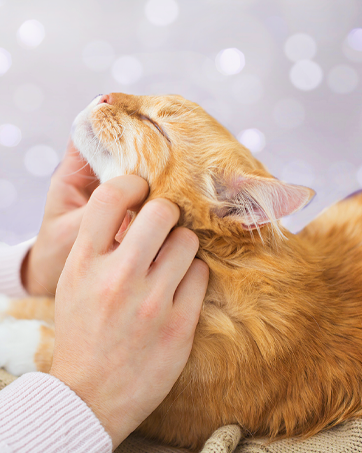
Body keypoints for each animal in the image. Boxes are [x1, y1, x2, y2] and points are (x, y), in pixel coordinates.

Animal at [0, 92, 362, 452]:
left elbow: (48, 342)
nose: (105, 95)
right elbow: (39, 304)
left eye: (155, 125)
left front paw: (12, 336)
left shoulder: (171, 413)